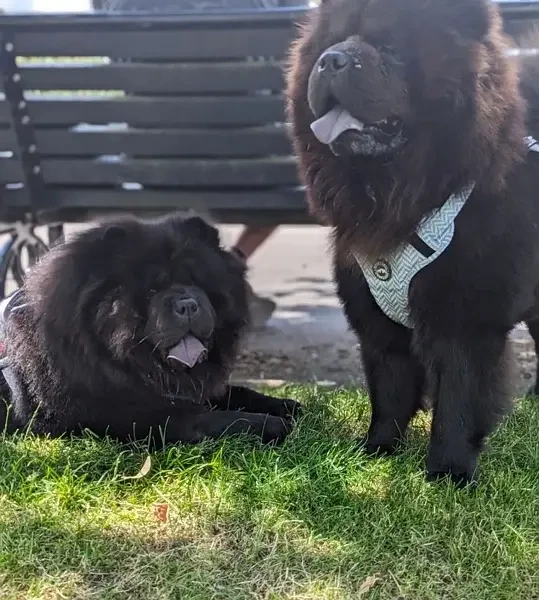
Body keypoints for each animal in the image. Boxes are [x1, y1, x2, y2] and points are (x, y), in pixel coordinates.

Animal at [0, 213, 302, 442]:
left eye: (197, 283)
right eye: (152, 290)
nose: (187, 304)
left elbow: (236, 392)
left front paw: (285, 405)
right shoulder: (143, 417)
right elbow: (212, 418)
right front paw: (270, 424)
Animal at [288, 0, 539, 482]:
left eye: (391, 50)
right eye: (334, 42)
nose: (332, 60)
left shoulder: (466, 318)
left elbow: (458, 402)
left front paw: (448, 473)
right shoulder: (374, 315)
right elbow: (389, 389)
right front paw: (378, 450)